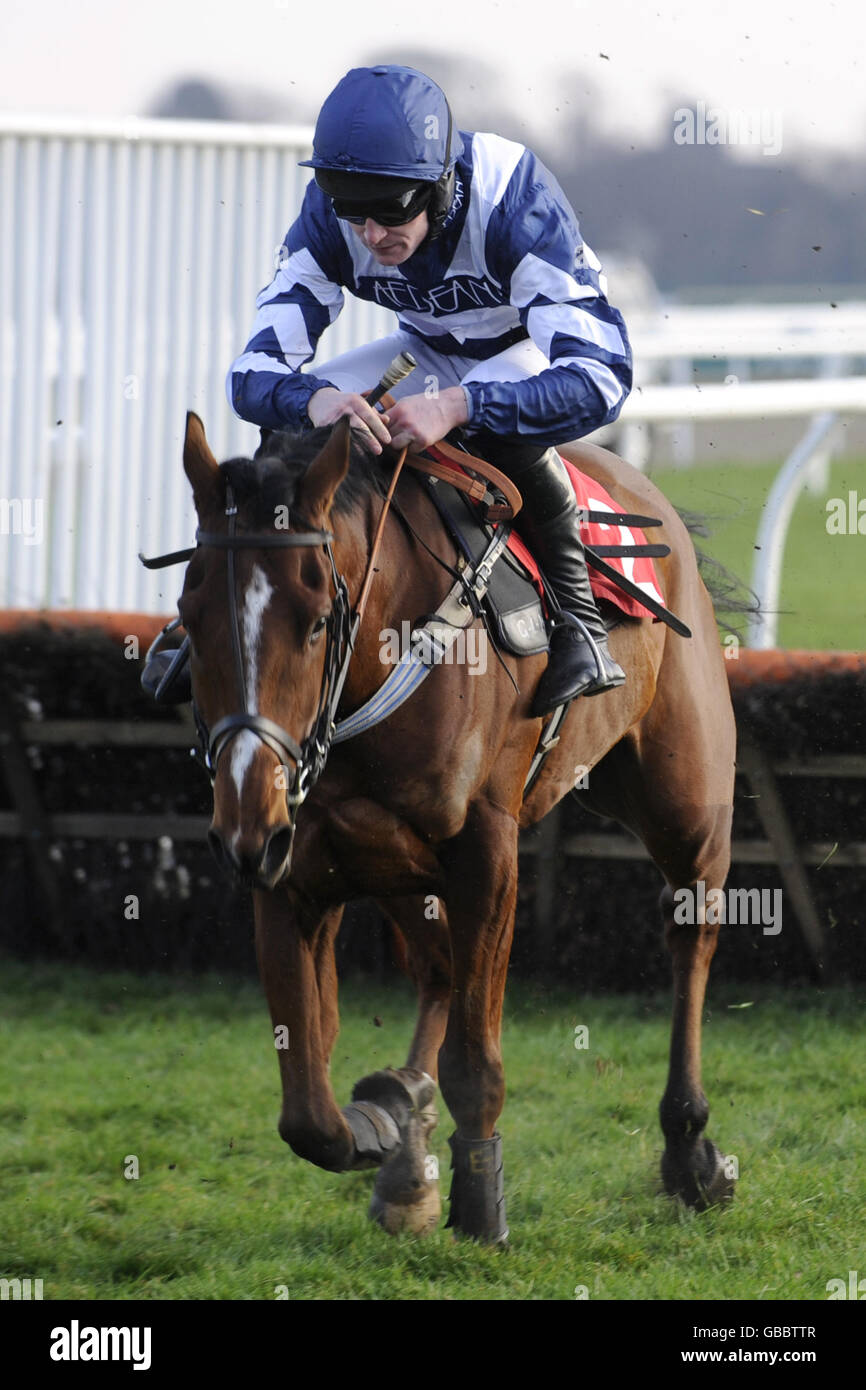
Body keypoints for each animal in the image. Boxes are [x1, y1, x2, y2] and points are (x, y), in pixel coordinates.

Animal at [176, 405, 739, 1245]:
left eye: (316, 621)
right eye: (190, 616)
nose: (245, 817)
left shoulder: (485, 854)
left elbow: (476, 1060)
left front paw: (480, 1204)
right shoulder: (289, 866)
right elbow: (307, 1107)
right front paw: (386, 1125)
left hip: (685, 802)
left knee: (691, 933)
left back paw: (690, 1148)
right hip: (395, 866)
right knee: (437, 967)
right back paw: (407, 1140)